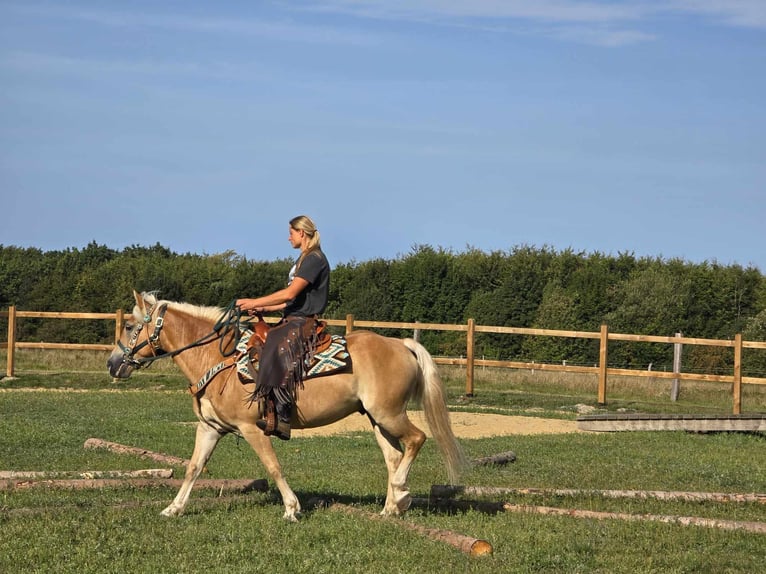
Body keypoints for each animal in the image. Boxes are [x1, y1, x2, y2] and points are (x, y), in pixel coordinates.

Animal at [106, 292, 468, 520]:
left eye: (130, 326)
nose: (112, 364)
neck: (218, 358)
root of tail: (402, 344)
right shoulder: (210, 428)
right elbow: (194, 467)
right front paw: (173, 509)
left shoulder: (251, 428)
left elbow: (273, 466)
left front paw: (292, 508)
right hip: (377, 418)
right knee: (393, 457)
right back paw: (390, 507)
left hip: (389, 414)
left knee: (417, 439)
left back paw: (402, 495)